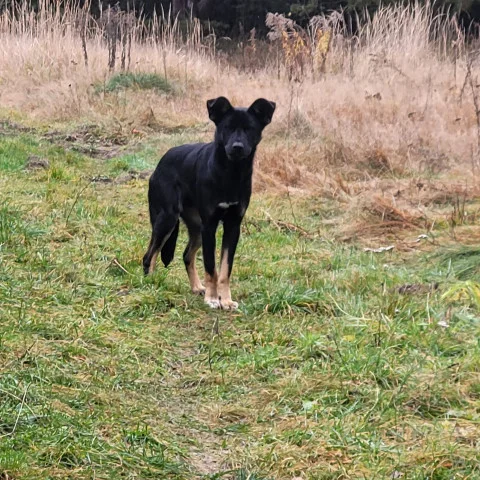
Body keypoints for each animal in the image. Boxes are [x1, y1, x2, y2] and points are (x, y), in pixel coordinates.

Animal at [142, 95, 276, 310]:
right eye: (227, 128)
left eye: (250, 129)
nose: (237, 147)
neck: (231, 173)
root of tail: (161, 163)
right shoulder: (210, 225)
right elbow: (211, 267)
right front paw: (213, 299)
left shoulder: (233, 226)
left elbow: (225, 269)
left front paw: (226, 300)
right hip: (167, 220)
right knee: (149, 255)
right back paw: (151, 283)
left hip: (197, 228)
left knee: (187, 255)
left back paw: (197, 287)